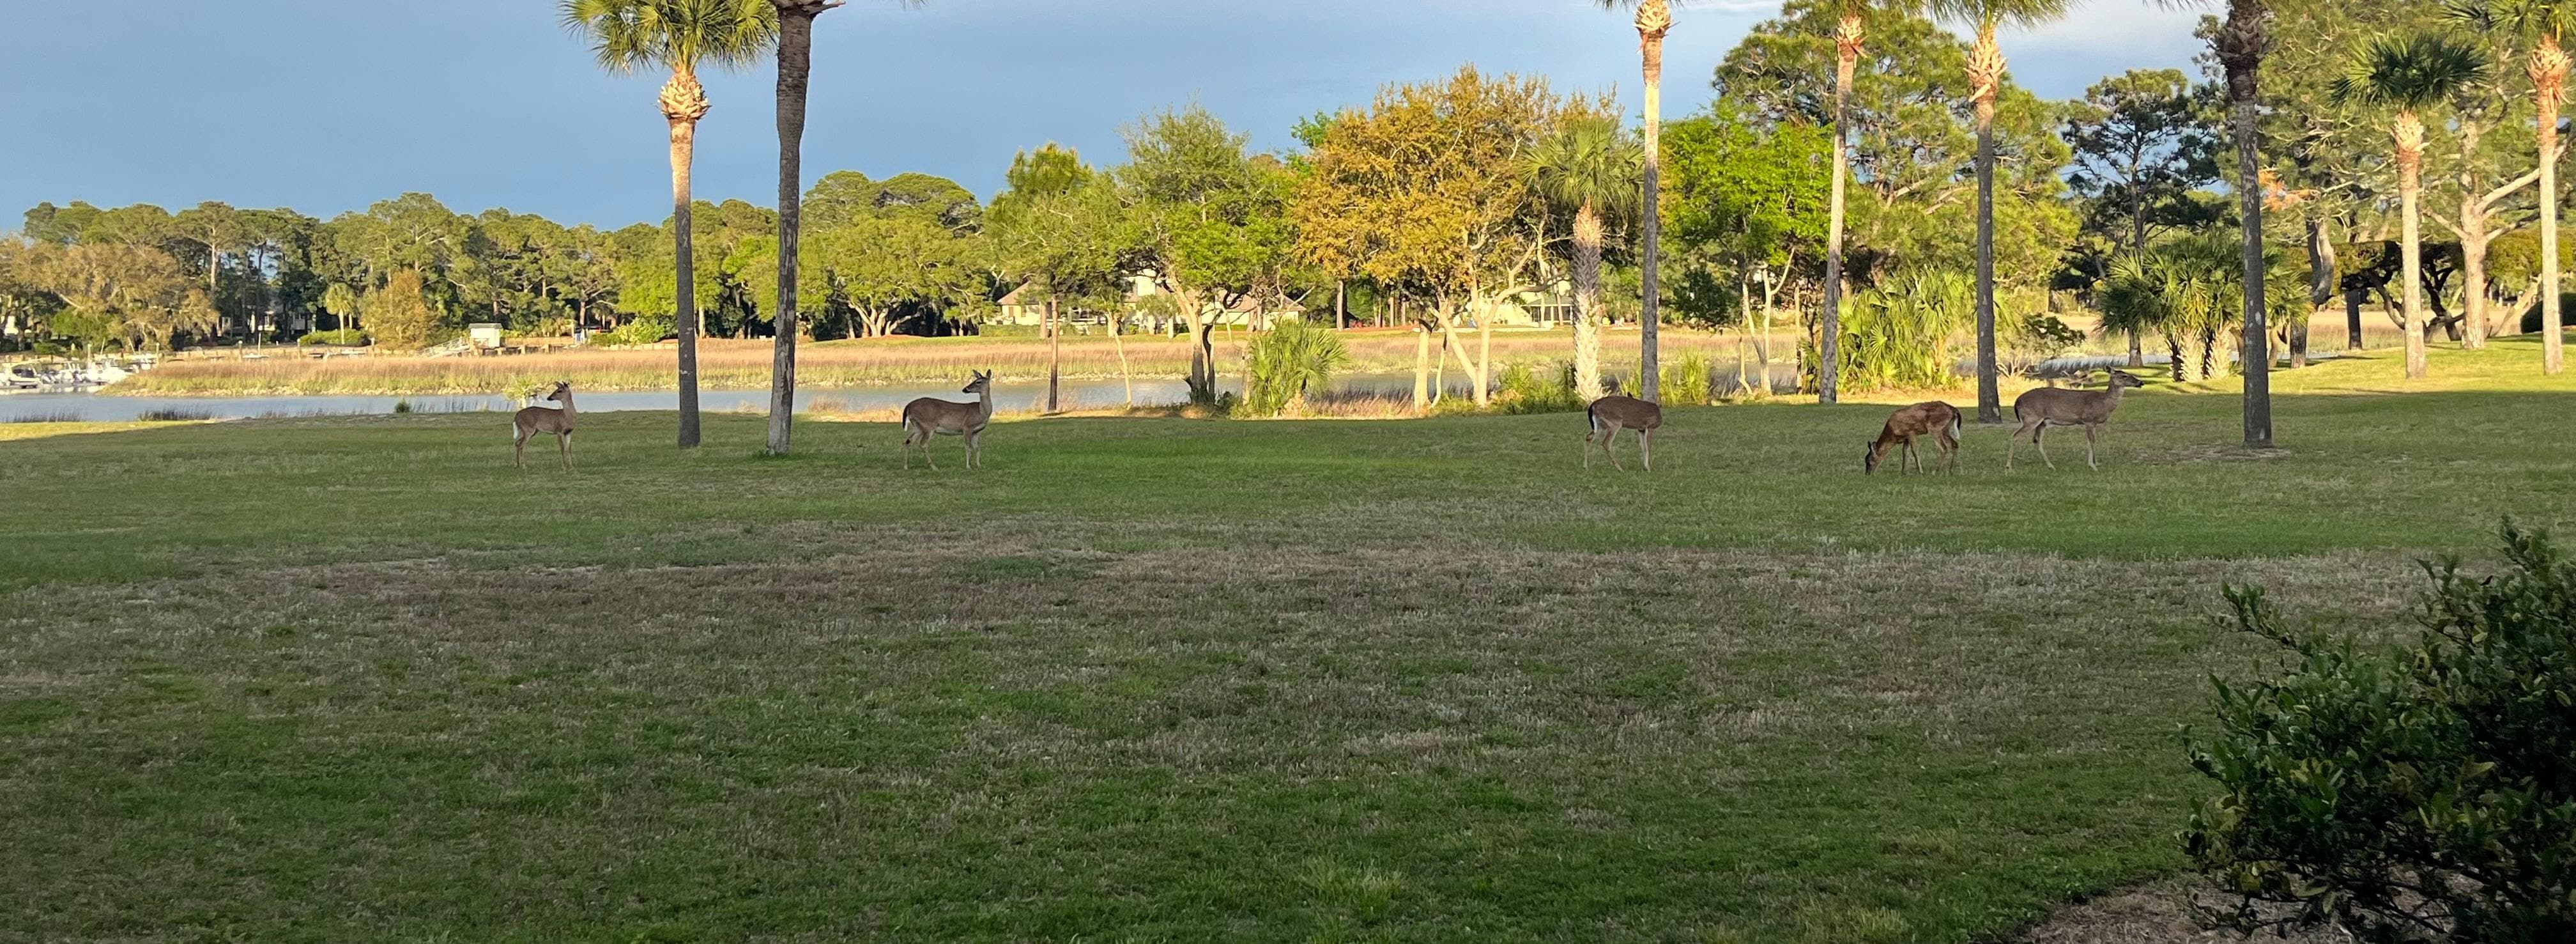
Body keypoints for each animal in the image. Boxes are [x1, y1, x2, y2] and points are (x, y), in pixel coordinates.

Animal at [511, 380, 576, 470]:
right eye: (557, 389)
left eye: (559, 391)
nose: (549, 398)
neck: (566, 416)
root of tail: (516, 417)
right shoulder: (559, 430)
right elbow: (562, 447)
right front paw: (564, 467)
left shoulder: (569, 432)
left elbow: (569, 448)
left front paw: (572, 466)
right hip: (528, 429)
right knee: (521, 445)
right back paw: (524, 466)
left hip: (532, 431)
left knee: (517, 443)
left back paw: (517, 465)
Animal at [901, 370, 994, 470]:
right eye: (975, 380)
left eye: (978, 382)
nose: (965, 389)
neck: (981, 412)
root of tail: (909, 405)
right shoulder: (967, 427)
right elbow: (968, 447)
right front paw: (969, 466)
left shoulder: (976, 432)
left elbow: (977, 448)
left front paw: (979, 466)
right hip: (927, 425)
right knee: (923, 444)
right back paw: (934, 467)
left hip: (918, 427)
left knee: (909, 441)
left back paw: (906, 467)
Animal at [1865, 401, 1961, 475]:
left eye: (1869, 461)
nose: (1868, 474)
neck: (1893, 435)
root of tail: (1954, 410)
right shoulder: (1906, 437)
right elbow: (1904, 451)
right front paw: (1903, 472)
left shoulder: (1911, 432)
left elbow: (1914, 451)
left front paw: (1920, 472)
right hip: (1946, 429)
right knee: (1955, 444)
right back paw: (1951, 470)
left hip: (1935, 428)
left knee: (1944, 448)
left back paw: (1934, 471)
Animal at [2007, 369, 2146, 471]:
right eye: (2124, 376)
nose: (2141, 383)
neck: (2103, 403)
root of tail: (2017, 401)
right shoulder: (2089, 420)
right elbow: (2092, 441)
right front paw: (2094, 466)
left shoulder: (2092, 423)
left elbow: (2090, 442)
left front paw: (2094, 463)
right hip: (2031, 418)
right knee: (2015, 435)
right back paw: (2009, 467)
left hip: (2042, 422)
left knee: (2037, 440)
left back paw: (2051, 466)